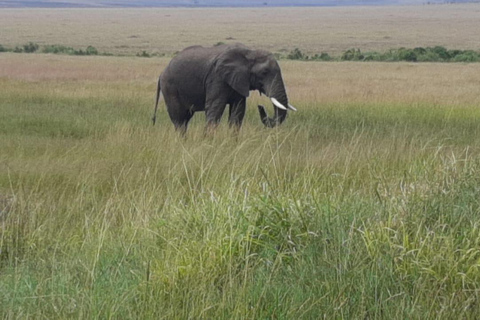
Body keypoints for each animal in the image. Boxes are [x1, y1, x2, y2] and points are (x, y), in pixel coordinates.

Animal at [153, 43, 296, 132]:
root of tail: (161, 73)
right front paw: (208, 144)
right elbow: (215, 108)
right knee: (179, 119)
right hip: (170, 87)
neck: (249, 53)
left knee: (186, 118)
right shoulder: (216, 78)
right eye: (264, 72)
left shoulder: (239, 80)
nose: (260, 106)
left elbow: (238, 111)